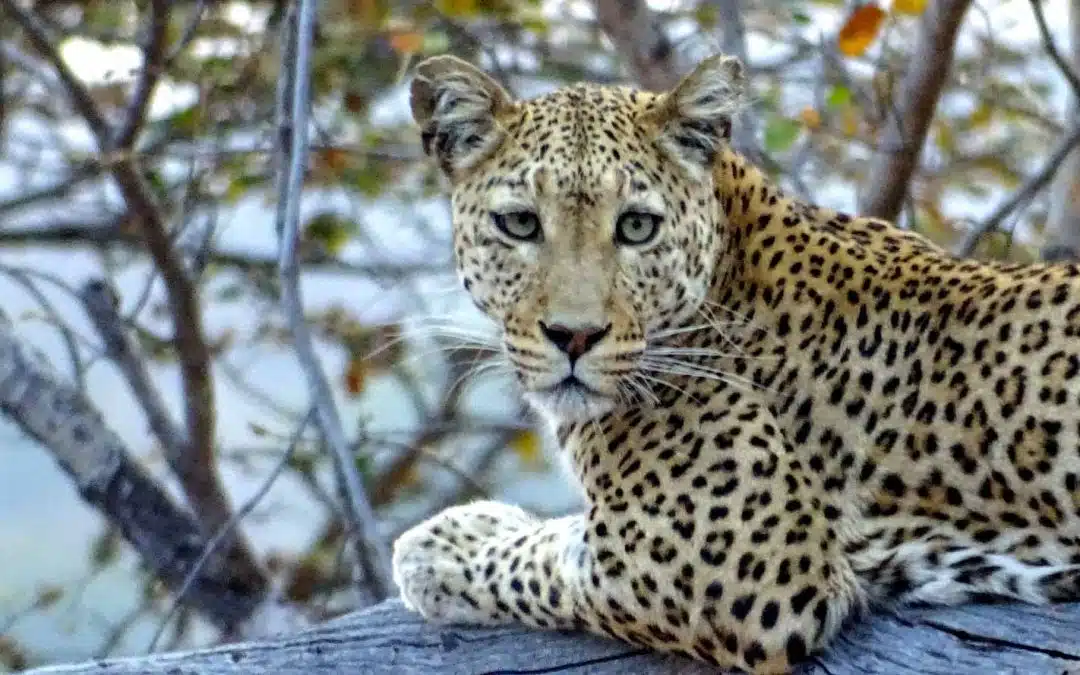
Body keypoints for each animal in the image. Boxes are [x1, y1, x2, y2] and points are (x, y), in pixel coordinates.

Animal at [390, 52, 1080, 674]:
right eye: (519, 224)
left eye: (637, 227)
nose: (574, 336)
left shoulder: (720, 566)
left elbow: (539, 558)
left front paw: (438, 550)